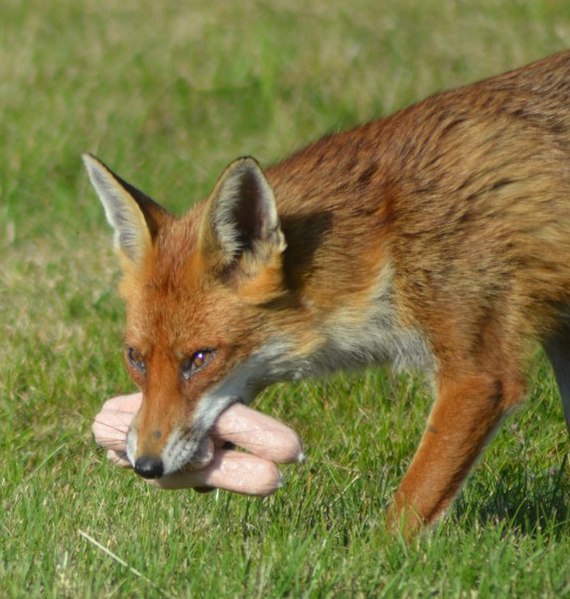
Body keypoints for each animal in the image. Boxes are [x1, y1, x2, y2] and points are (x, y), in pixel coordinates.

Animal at [83, 51, 568, 536]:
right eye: (135, 358)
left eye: (201, 358)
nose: (146, 465)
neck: (389, 240)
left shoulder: (479, 376)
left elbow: (407, 510)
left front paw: (379, 553)